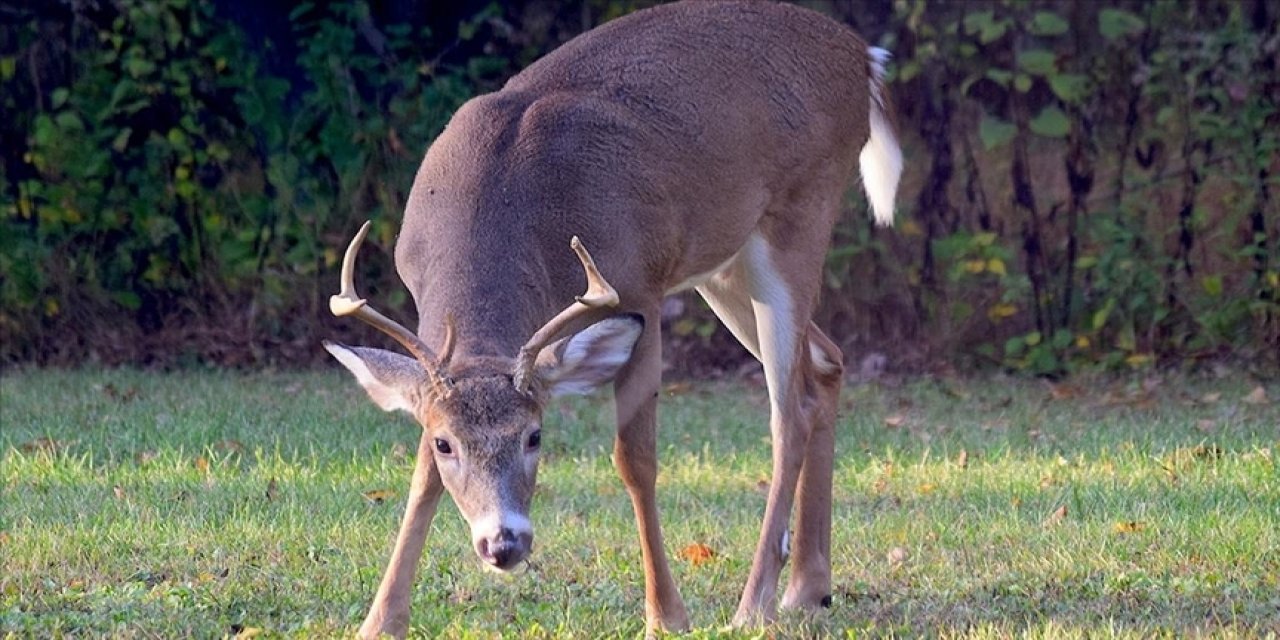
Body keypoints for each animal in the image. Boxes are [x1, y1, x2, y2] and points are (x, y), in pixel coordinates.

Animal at [325, 2, 906, 637]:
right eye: (444, 443)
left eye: (535, 435)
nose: (504, 545)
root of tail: (863, 58)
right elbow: (420, 480)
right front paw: (381, 620)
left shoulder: (640, 288)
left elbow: (636, 460)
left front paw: (667, 615)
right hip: (723, 265)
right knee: (826, 364)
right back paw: (808, 588)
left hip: (799, 217)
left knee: (789, 412)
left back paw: (755, 603)